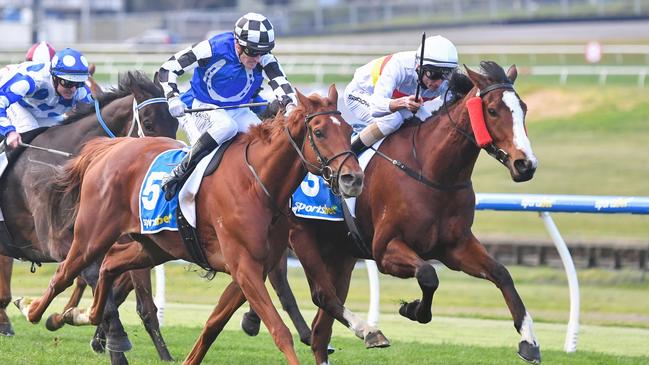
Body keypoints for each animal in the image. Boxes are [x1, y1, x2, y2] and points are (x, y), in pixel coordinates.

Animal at [0, 70, 177, 362]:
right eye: (149, 124)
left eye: (176, 122)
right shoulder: (59, 242)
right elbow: (97, 285)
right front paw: (115, 341)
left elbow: (136, 299)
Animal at [25, 86, 368, 364]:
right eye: (319, 132)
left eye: (349, 129)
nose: (353, 178)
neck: (257, 183)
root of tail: (110, 148)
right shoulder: (244, 266)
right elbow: (278, 330)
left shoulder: (251, 269)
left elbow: (213, 324)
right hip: (92, 235)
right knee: (65, 272)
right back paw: (34, 310)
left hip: (154, 247)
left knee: (109, 266)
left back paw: (78, 315)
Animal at [266, 61, 540, 362]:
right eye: (492, 110)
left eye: (524, 108)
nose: (526, 164)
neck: (431, 172)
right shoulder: (385, 249)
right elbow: (428, 275)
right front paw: (412, 309)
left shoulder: (455, 246)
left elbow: (502, 274)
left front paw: (529, 341)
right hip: (302, 237)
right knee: (322, 295)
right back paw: (370, 331)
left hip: (340, 254)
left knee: (320, 330)